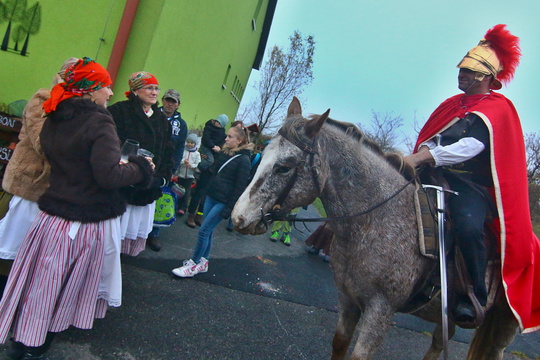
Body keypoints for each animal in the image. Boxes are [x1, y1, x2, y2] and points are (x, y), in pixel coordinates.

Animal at [233, 97, 520, 358]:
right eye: (263, 155)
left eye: (284, 167)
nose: (239, 218)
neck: (375, 222)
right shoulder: (348, 298)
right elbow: (339, 343)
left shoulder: (381, 310)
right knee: (440, 341)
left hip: (503, 321)